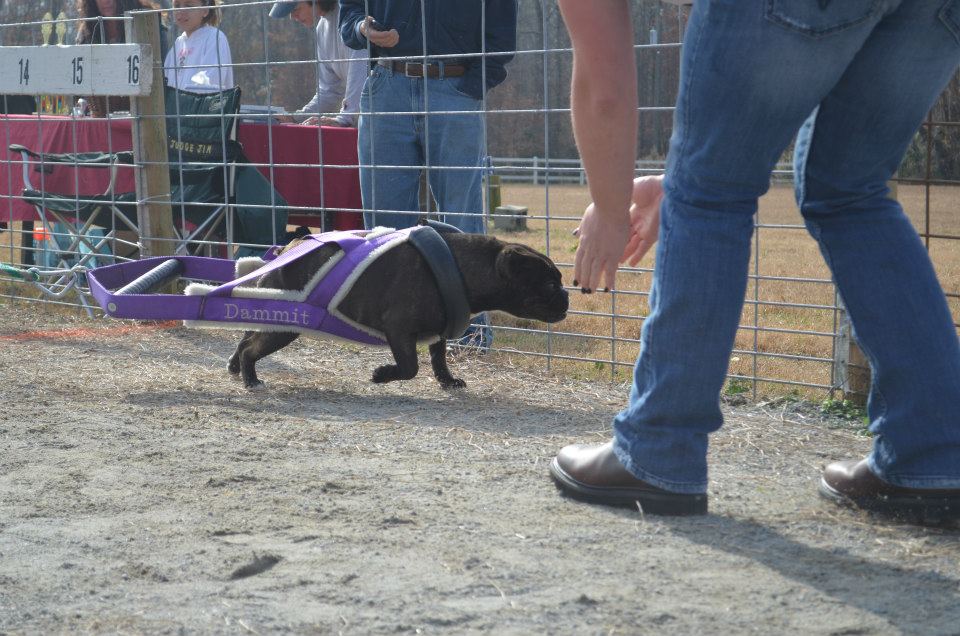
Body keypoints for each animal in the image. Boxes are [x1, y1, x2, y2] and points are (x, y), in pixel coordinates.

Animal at [228, 234, 568, 388]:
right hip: (285, 325)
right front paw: (382, 375)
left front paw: (447, 381)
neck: (464, 268)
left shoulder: (438, 333)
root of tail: (289, 247)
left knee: (246, 337)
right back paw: (250, 378)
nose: (566, 296)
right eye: (550, 284)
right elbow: (410, 367)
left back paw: (235, 366)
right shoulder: (399, 330)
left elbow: (439, 359)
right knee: (251, 347)